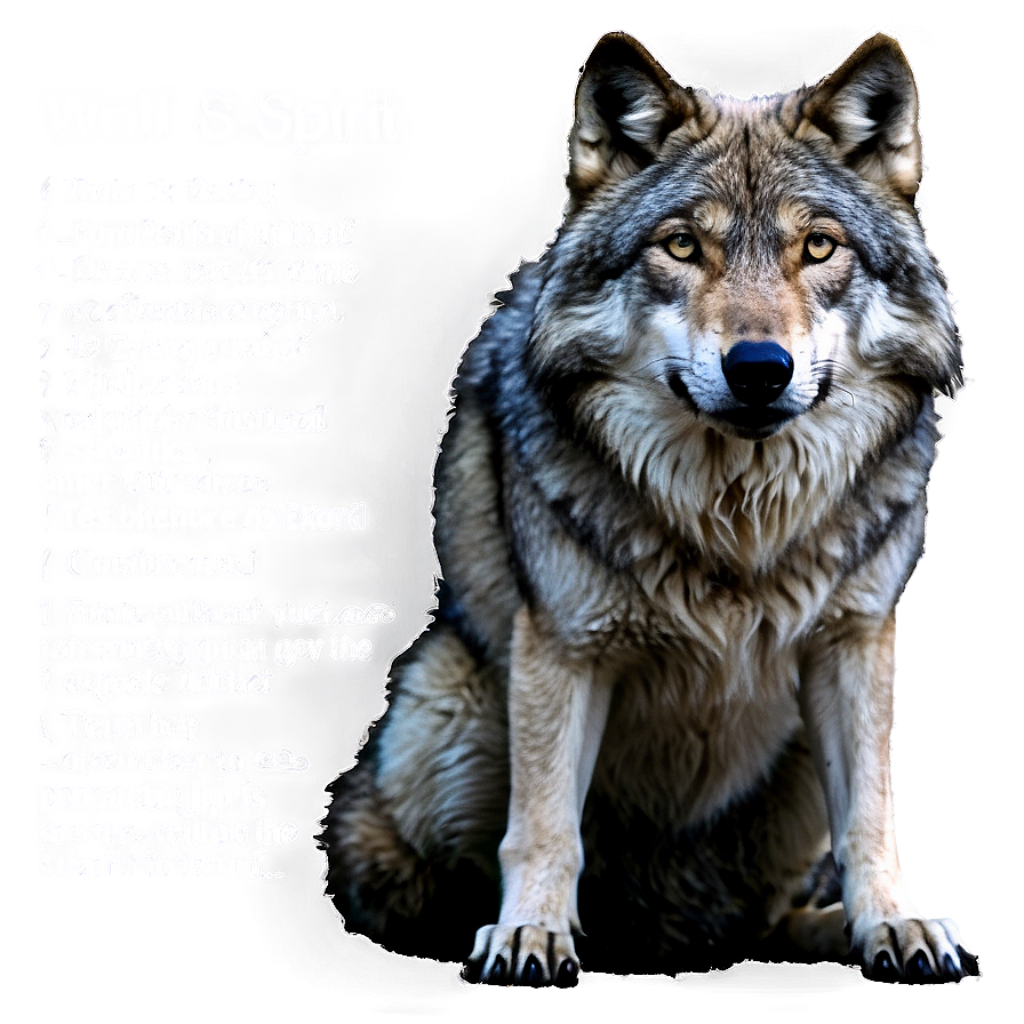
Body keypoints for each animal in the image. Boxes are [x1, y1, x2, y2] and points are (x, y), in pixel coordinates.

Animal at [321, 30, 978, 986]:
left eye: (819, 247)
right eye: (681, 245)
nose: (759, 368)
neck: (738, 520)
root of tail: (663, 940)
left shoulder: (855, 640)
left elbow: (871, 815)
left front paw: (899, 924)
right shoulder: (564, 645)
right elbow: (544, 824)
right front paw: (531, 935)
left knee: (764, 915)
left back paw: (823, 930)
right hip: (446, 700)